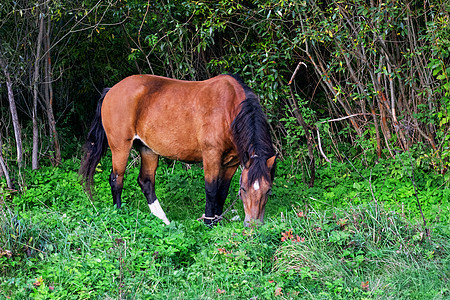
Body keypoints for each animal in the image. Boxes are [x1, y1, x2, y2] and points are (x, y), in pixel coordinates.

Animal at [79, 74, 276, 226]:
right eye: (243, 189)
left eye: (268, 190)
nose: (253, 225)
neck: (228, 109)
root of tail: (111, 90)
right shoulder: (211, 155)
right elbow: (211, 189)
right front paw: (209, 222)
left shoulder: (233, 162)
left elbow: (222, 191)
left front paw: (218, 220)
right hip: (120, 146)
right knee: (116, 180)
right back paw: (120, 214)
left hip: (148, 150)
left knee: (146, 182)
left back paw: (163, 220)